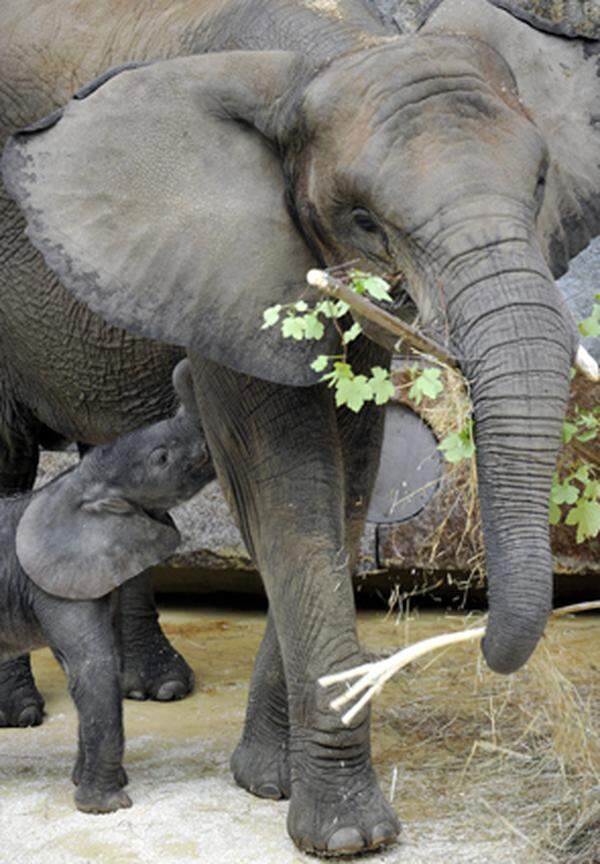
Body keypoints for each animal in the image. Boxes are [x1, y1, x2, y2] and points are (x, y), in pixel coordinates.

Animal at [0, 360, 214, 816]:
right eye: (161, 457)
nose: (184, 363)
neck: (74, 484)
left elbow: (85, 670)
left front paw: (87, 783)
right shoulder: (53, 584)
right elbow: (93, 667)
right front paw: (108, 805)